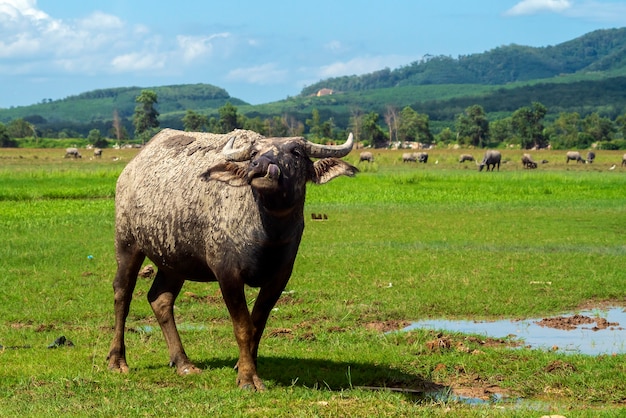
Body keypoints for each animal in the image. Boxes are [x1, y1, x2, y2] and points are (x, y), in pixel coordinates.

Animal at [107, 129, 356, 390]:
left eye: (296, 152)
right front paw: (248, 378)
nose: (260, 166)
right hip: (127, 244)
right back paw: (117, 361)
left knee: (160, 300)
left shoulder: (280, 277)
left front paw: (245, 365)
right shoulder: (227, 274)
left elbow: (257, 324)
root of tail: (129, 170)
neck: (268, 234)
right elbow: (243, 327)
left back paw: (183, 363)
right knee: (122, 294)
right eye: (254, 153)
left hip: (174, 262)